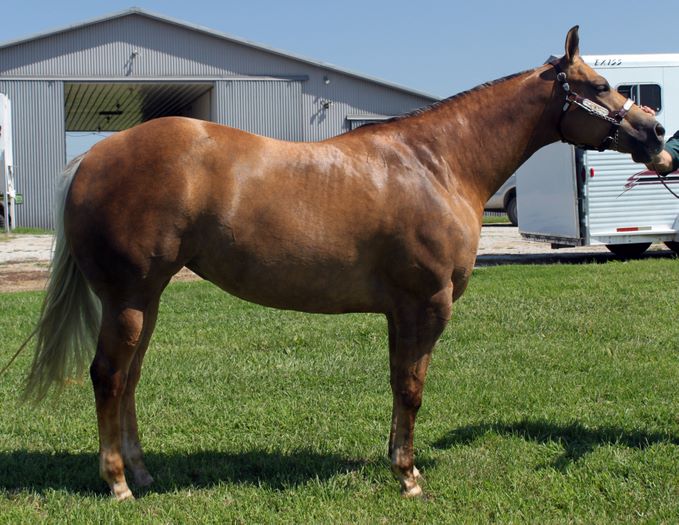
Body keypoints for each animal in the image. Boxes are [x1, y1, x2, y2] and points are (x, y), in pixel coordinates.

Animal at [23, 26, 664, 500]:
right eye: (602, 83)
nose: (656, 132)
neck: (436, 164)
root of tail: (93, 157)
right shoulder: (427, 304)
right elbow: (412, 387)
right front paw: (408, 478)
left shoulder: (400, 312)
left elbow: (397, 382)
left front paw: (397, 462)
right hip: (128, 298)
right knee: (108, 377)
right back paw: (118, 484)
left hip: (146, 299)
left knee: (129, 379)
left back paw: (142, 472)